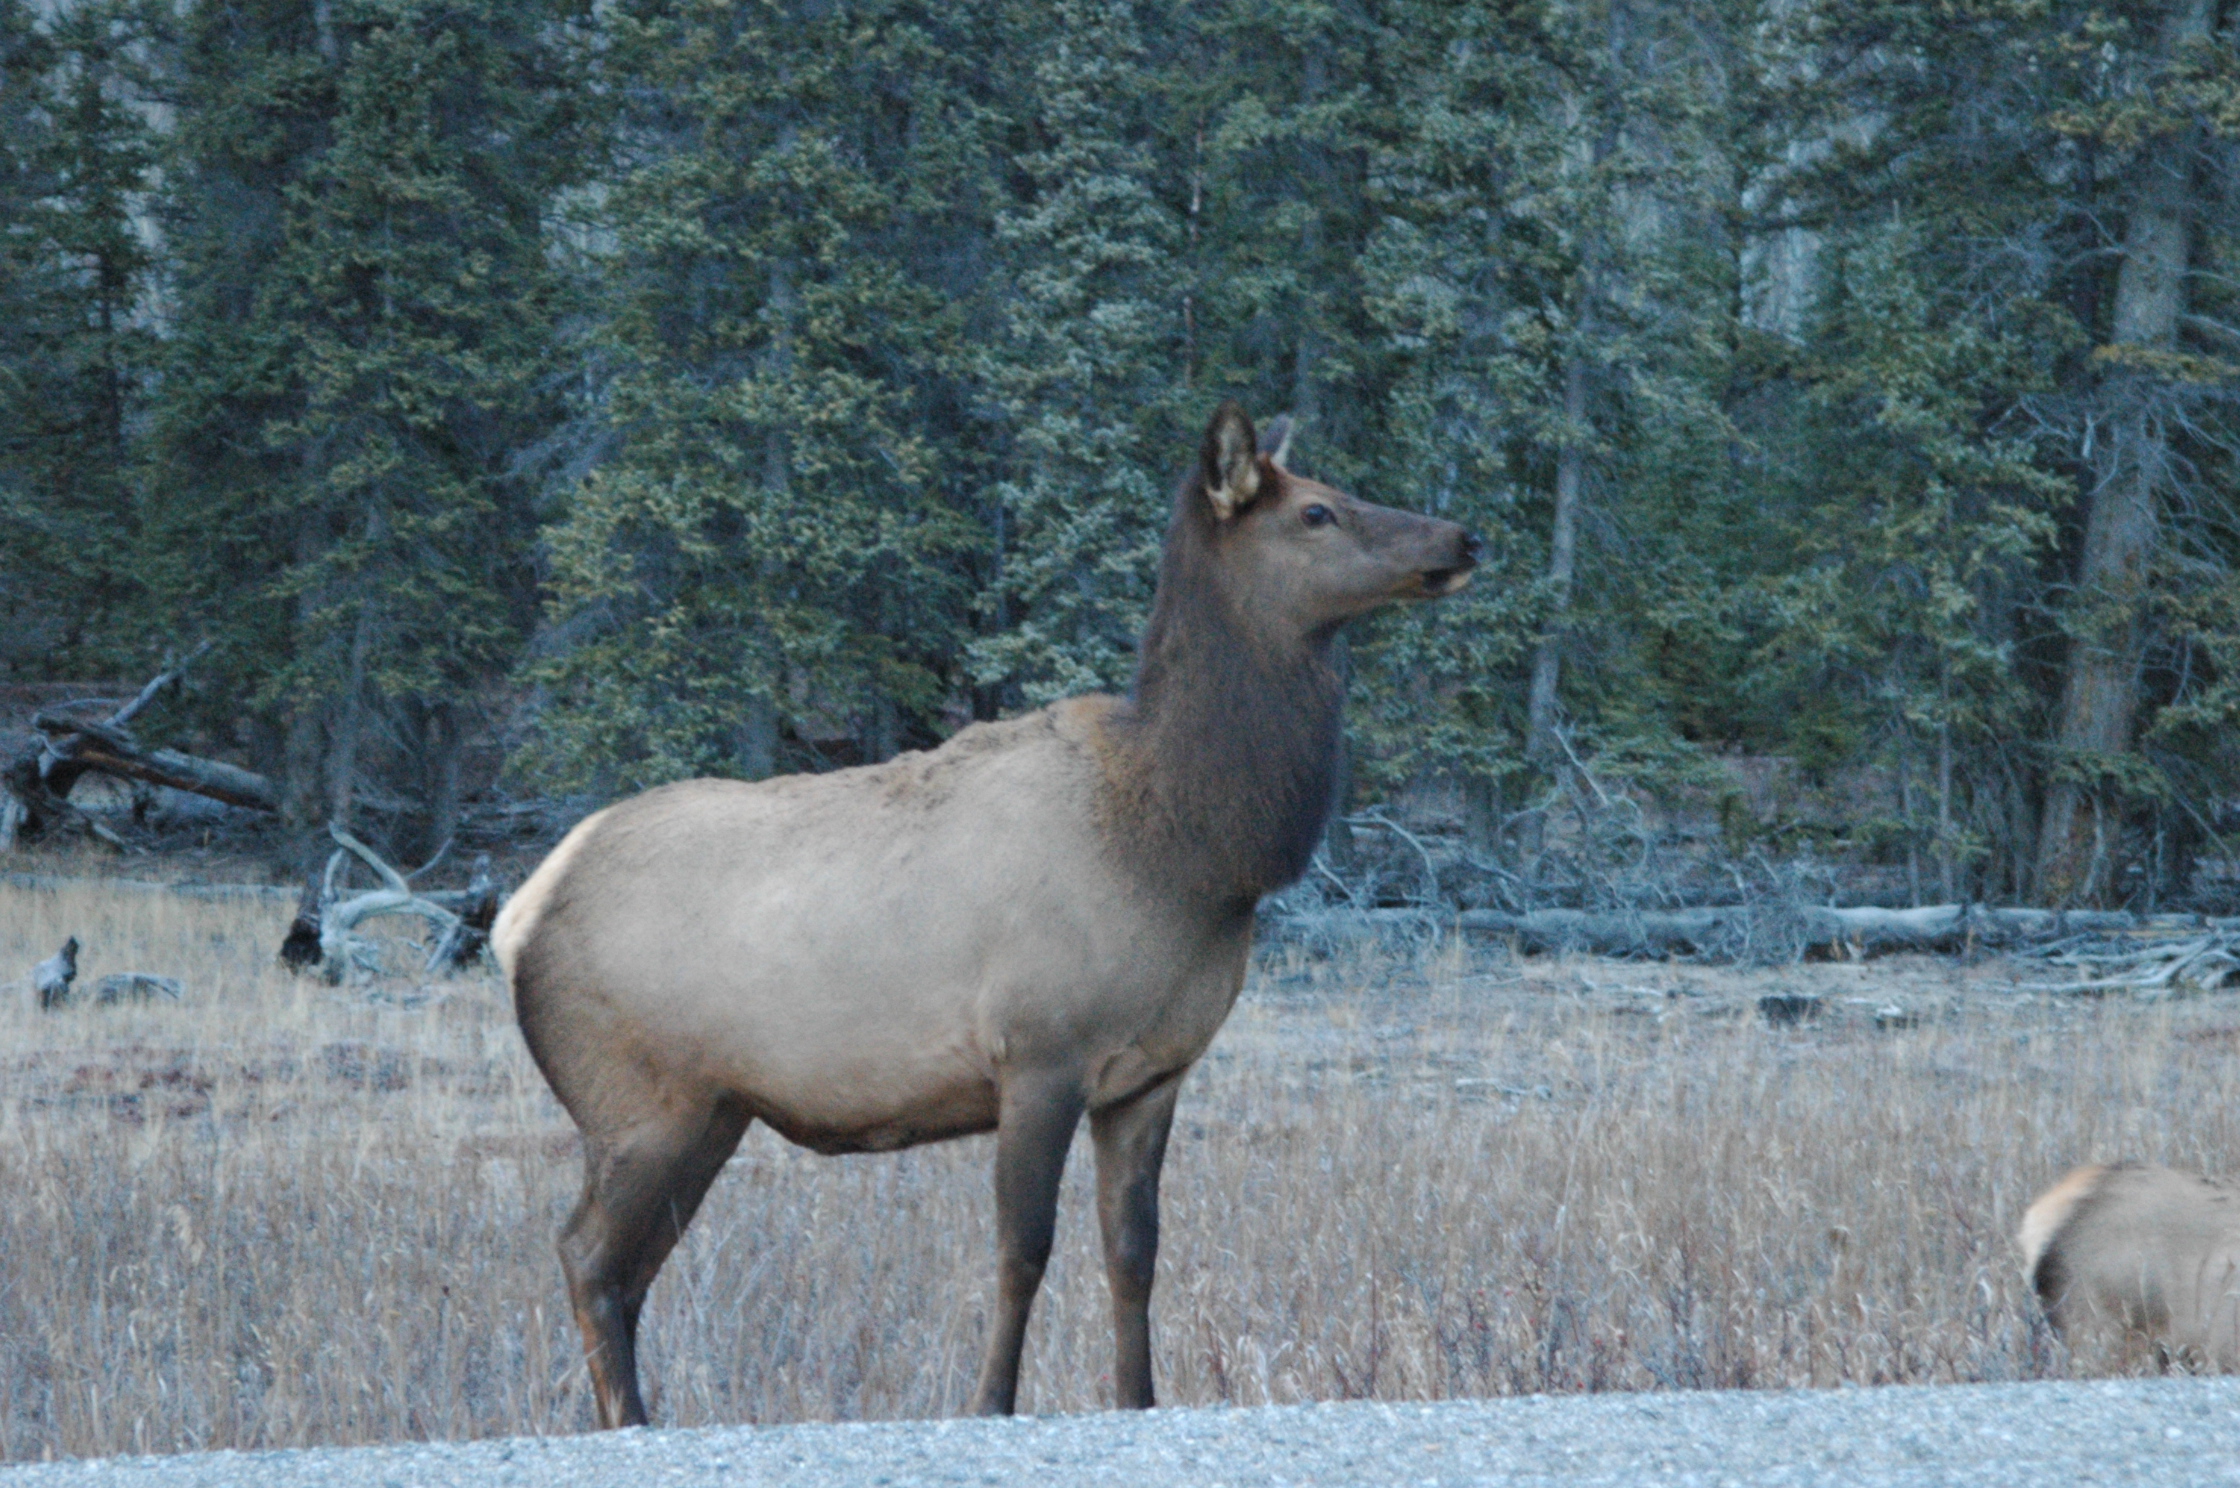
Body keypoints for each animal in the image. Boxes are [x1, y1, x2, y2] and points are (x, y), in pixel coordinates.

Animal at [494, 403, 1480, 1427]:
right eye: (1317, 512)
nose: (1461, 537)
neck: (1190, 846)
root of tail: (517, 915)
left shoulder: (1150, 1075)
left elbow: (1135, 1253)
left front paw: (1138, 1399)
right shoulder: (1038, 1053)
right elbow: (1023, 1250)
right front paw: (990, 1402)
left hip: (711, 1110)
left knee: (626, 1271)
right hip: (638, 1105)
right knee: (586, 1256)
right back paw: (632, 1421)